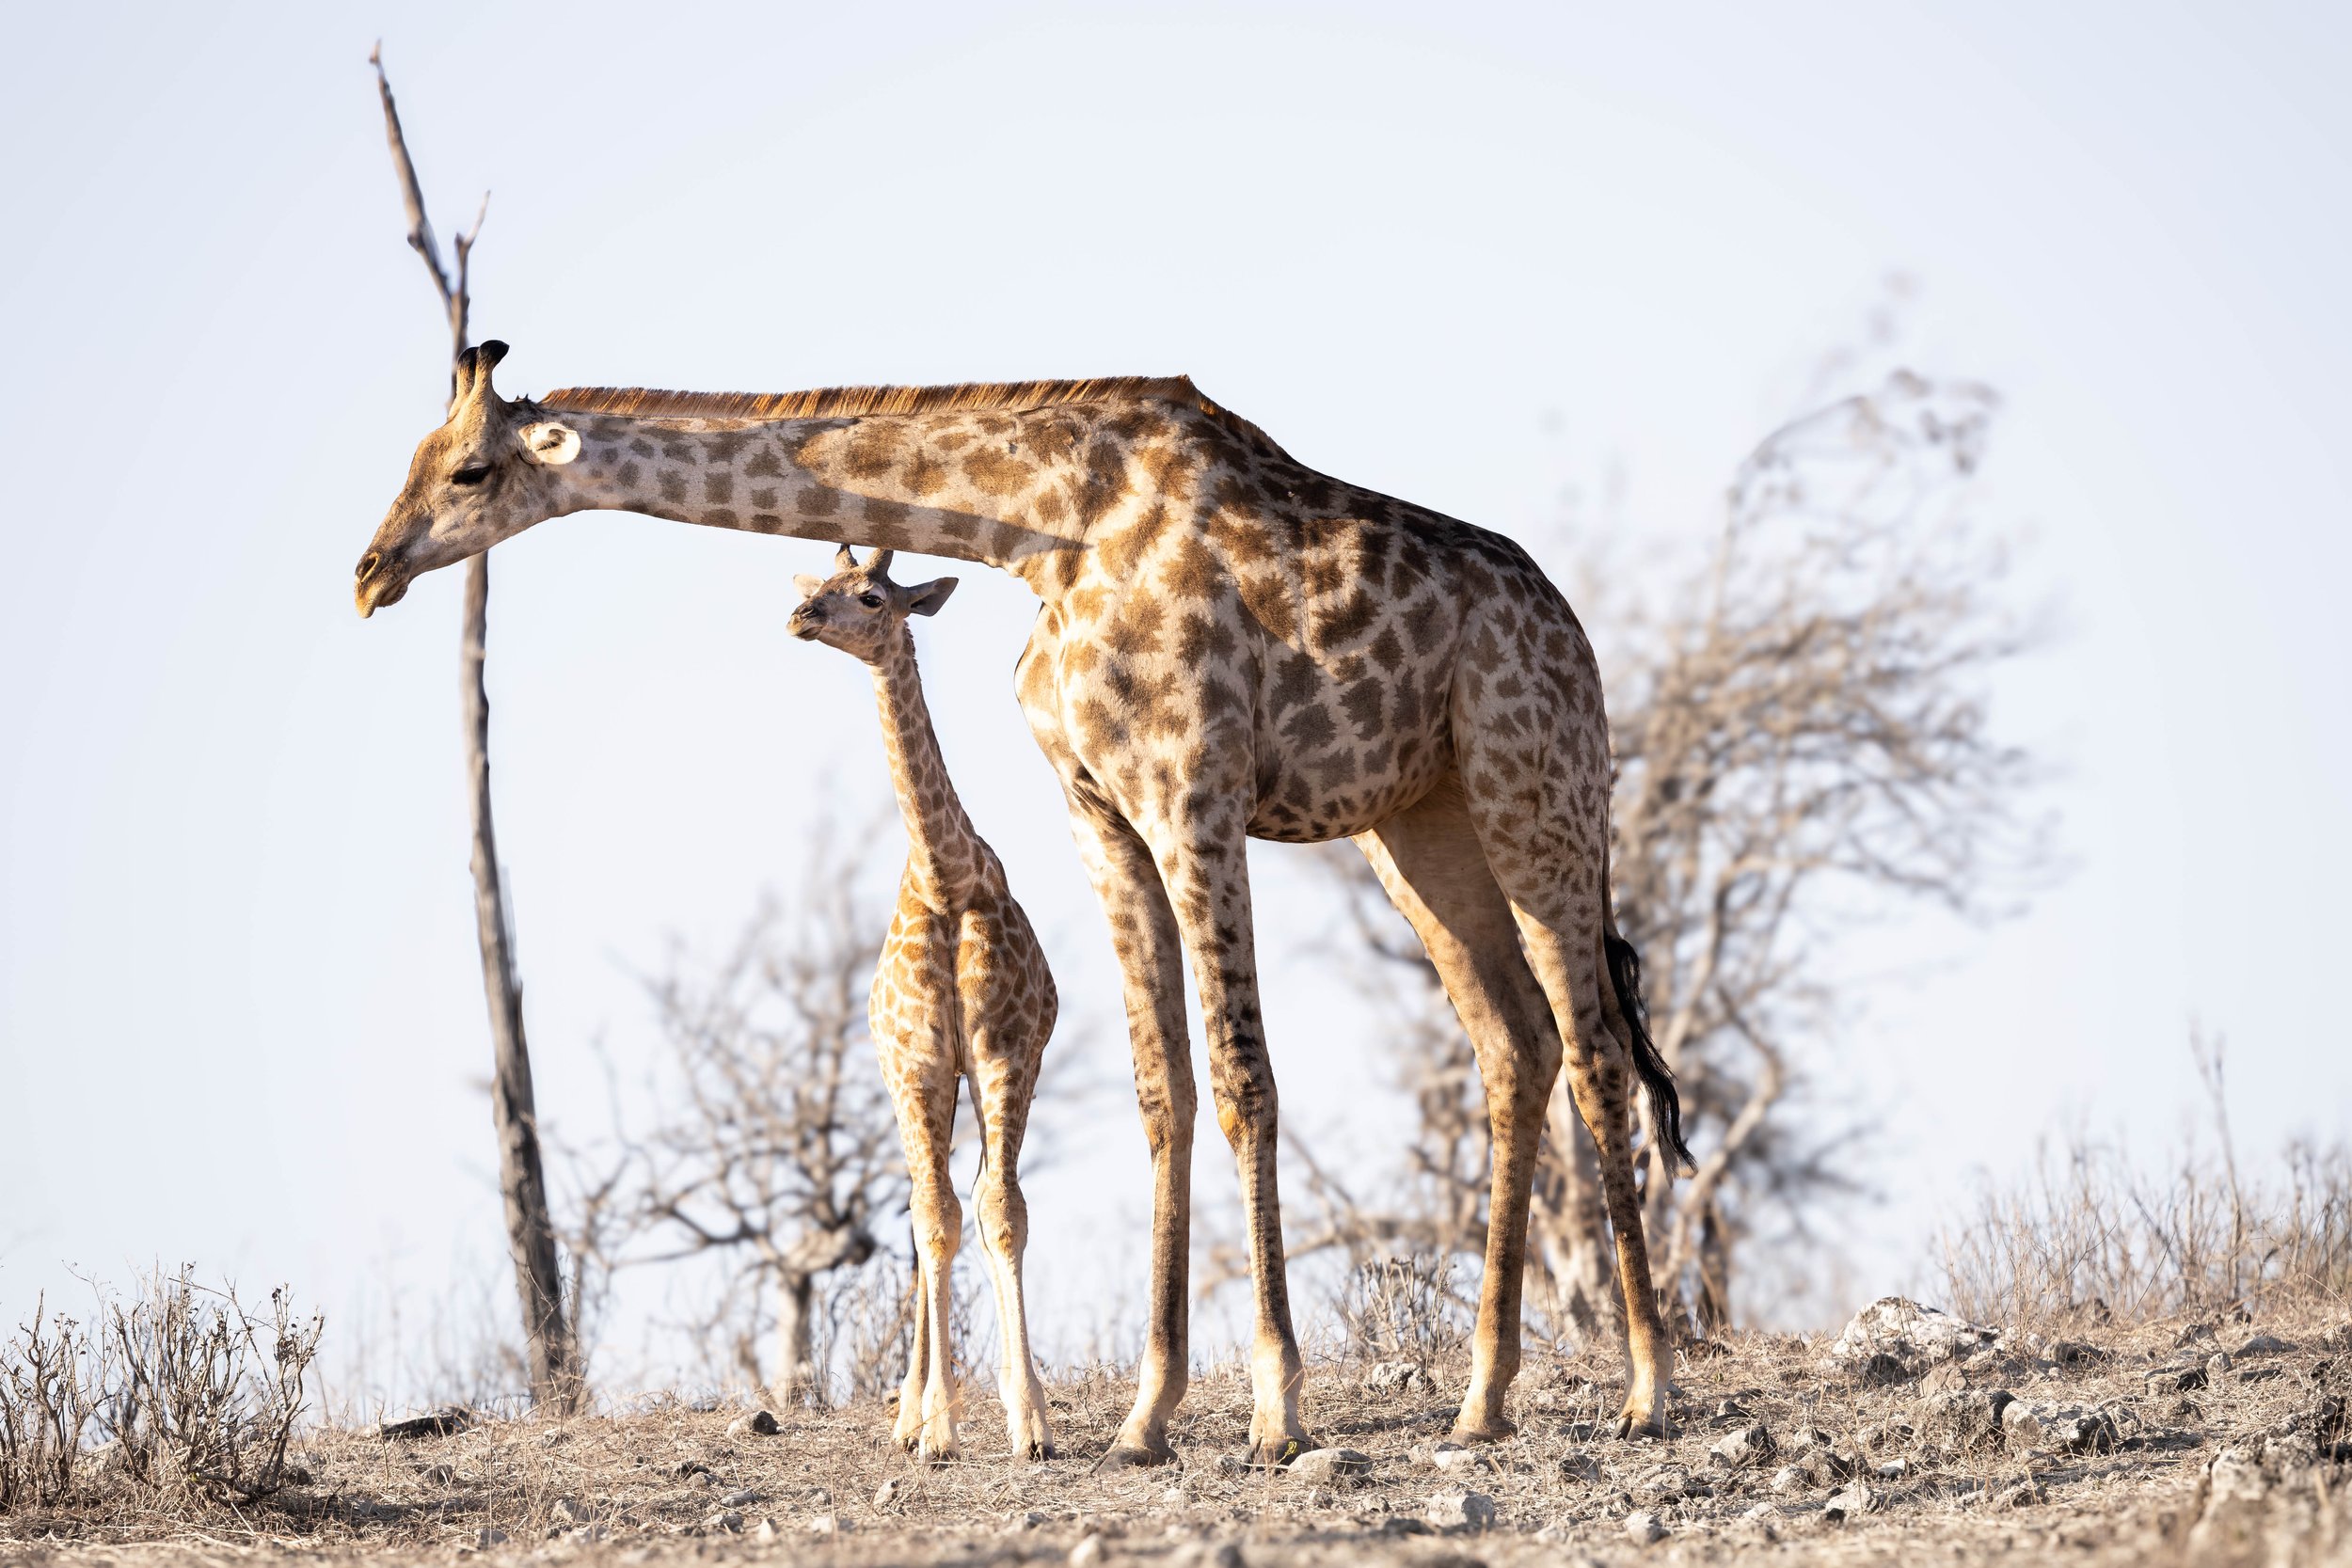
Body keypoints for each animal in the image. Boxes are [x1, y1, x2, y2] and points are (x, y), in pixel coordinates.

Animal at [785, 542, 1059, 1463]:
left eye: (873, 595)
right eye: (819, 585)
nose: (799, 617)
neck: (945, 876)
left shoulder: (1007, 1053)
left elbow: (1001, 1211)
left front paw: (1029, 1419)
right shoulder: (918, 1064)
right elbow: (935, 1218)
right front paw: (937, 1424)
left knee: (960, 1199)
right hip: (917, 1084)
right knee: (921, 1206)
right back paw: (908, 1413)